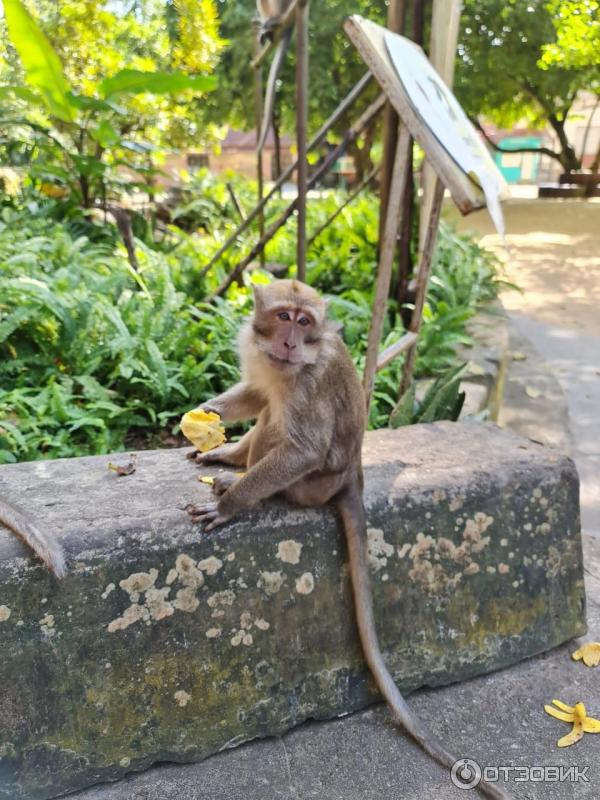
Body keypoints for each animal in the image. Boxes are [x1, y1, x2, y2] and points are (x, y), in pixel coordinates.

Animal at [188, 282, 510, 800]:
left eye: (305, 322)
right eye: (284, 316)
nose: (290, 342)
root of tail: (353, 474)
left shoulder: (307, 386)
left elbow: (302, 446)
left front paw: (230, 505)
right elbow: (256, 392)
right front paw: (212, 412)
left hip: (313, 485)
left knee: (282, 429)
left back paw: (245, 485)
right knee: (268, 409)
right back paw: (231, 456)